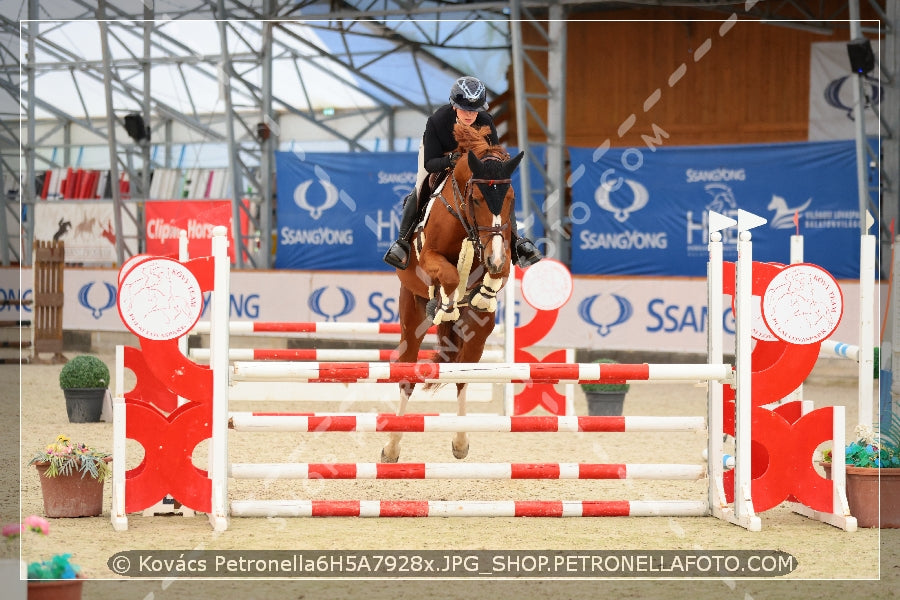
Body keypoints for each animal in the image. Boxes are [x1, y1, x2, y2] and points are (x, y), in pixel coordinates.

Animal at [382, 123, 524, 464]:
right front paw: (445, 303)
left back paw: (461, 442)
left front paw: (484, 294)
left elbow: (498, 273)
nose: (494, 256)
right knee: (407, 377)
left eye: (511, 198)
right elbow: (447, 274)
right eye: (478, 198)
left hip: (478, 335)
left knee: (462, 376)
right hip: (411, 315)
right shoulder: (430, 258)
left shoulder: (502, 252)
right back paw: (392, 447)